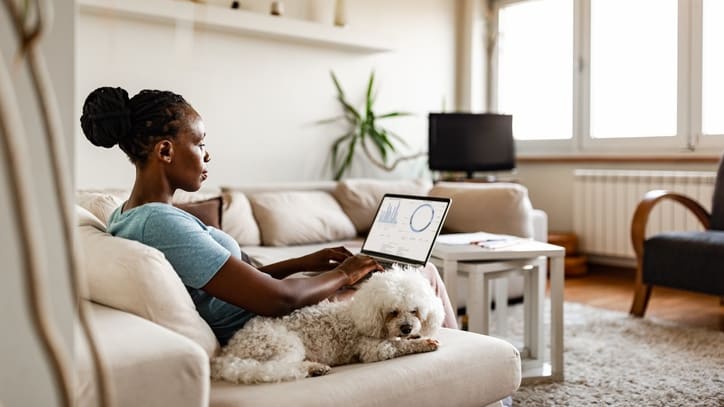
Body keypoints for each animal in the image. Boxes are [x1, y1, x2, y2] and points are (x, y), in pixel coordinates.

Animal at [212, 266, 444, 384]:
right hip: (283, 344)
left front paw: (416, 336)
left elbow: (402, 340)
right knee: (275, 369)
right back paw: (314, 368)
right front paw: (424, 342)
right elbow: (399, 345)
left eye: (414, 311)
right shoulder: (372, 348)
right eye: (392, 312)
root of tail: (229, 351)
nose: (406, 328)